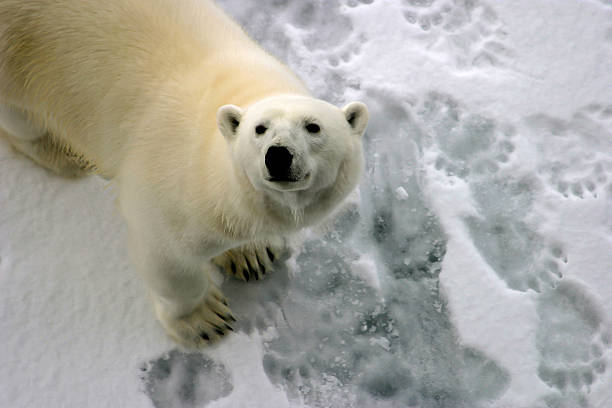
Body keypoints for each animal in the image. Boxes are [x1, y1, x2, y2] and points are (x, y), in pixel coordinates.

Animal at [0, 0, 368, 348]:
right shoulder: (168, 187)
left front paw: (251, 254)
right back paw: (62, 152)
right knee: (21, 115)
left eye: (313, 126)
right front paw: (204, 320)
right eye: (259, 129)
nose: (277, 156)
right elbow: (169, 262)